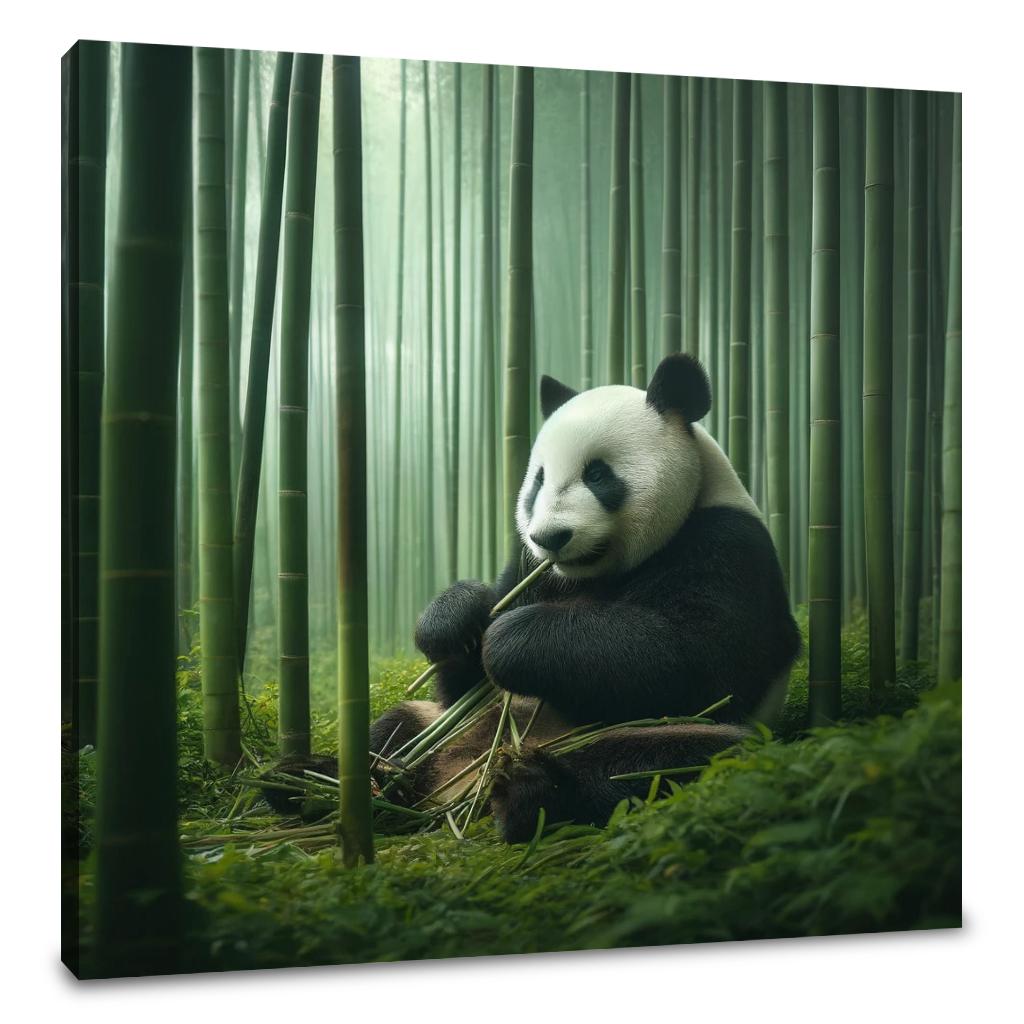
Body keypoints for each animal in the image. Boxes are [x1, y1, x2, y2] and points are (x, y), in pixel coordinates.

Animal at [278, 353, 800, 843]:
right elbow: (461, 683)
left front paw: (513, 640)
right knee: (398, 728)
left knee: (671, 759)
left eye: (597, 475)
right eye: (538, 480)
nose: (551, 537)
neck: (590, 575)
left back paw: (528, 794)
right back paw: (318, 783)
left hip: (660, 742)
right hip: (451, 727)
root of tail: (458, 784)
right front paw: (457, 621)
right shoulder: (527, 564)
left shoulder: (726, 544)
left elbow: (700, 664)